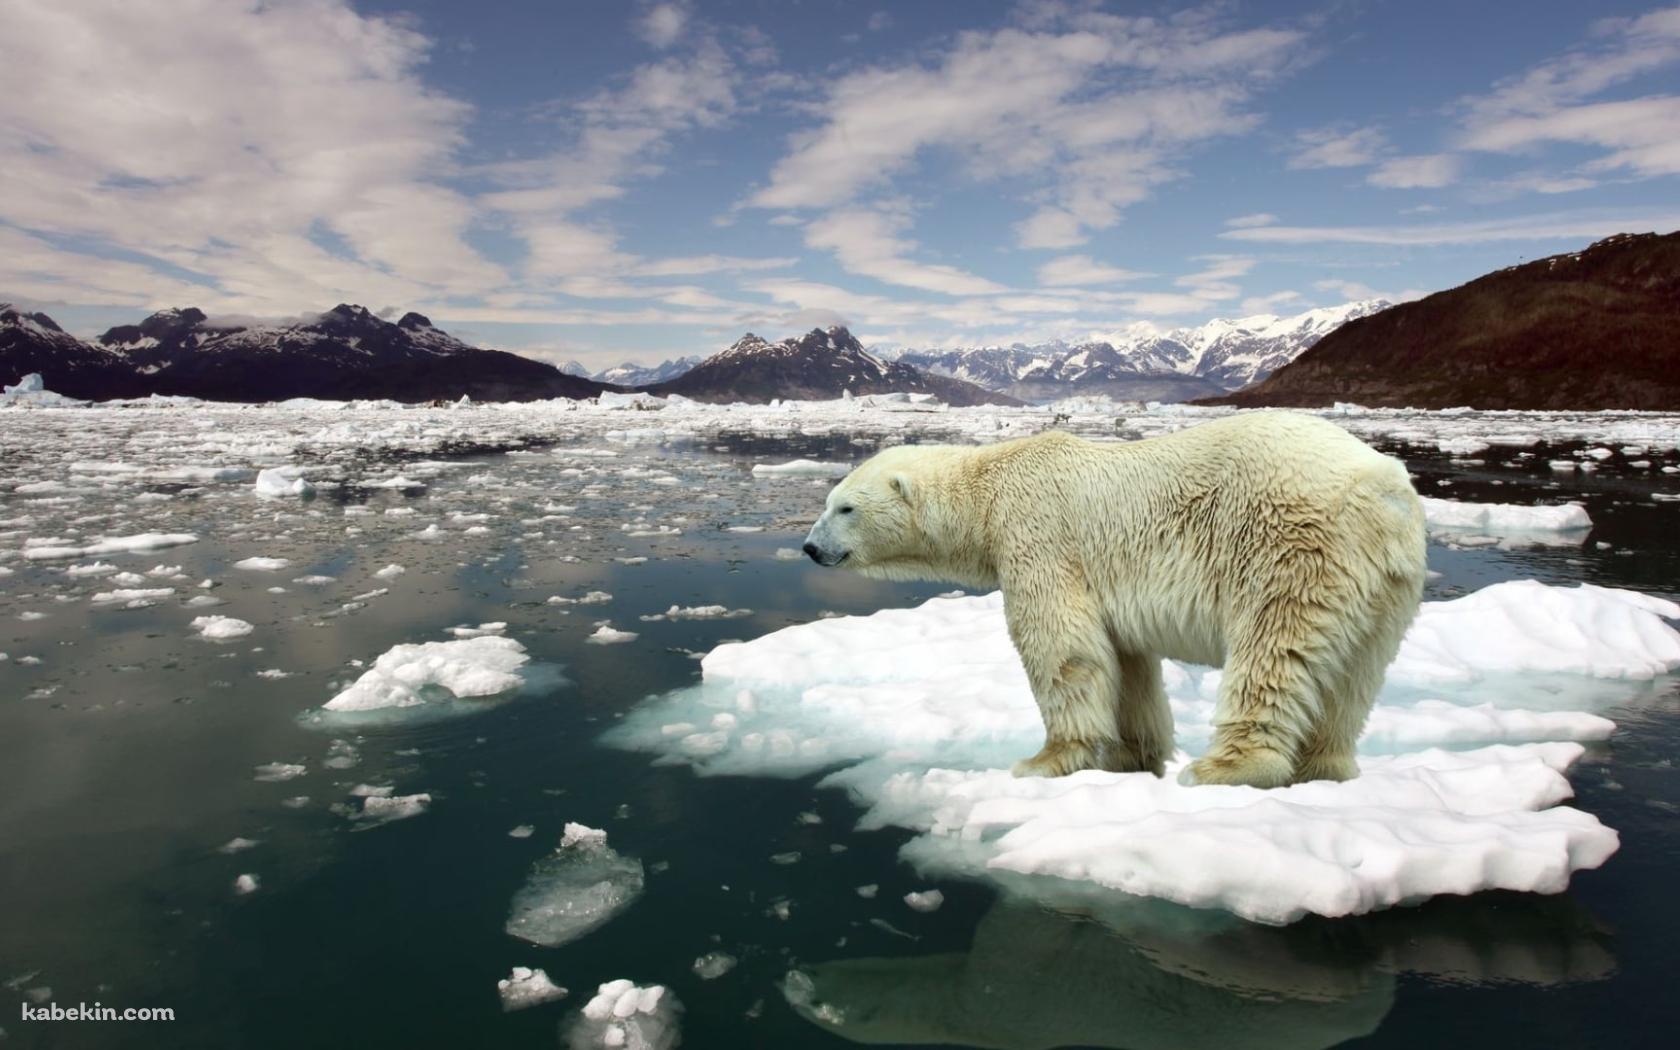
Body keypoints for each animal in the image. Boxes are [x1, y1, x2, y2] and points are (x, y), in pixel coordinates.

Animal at [802, 411, 1427, 788]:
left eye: (845, 508)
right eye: (828, 501)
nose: (809, 548)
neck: (989, 487)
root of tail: (1383, 488)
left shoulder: (1038, 535)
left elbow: (1062, 647)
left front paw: (1044, 761)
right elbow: (1126, 664)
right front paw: (1133, 757)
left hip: (1291, 544)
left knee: (1274, 649)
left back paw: (1224, 768)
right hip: (1387, 585)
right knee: (1354, 676)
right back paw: (1325, 768)